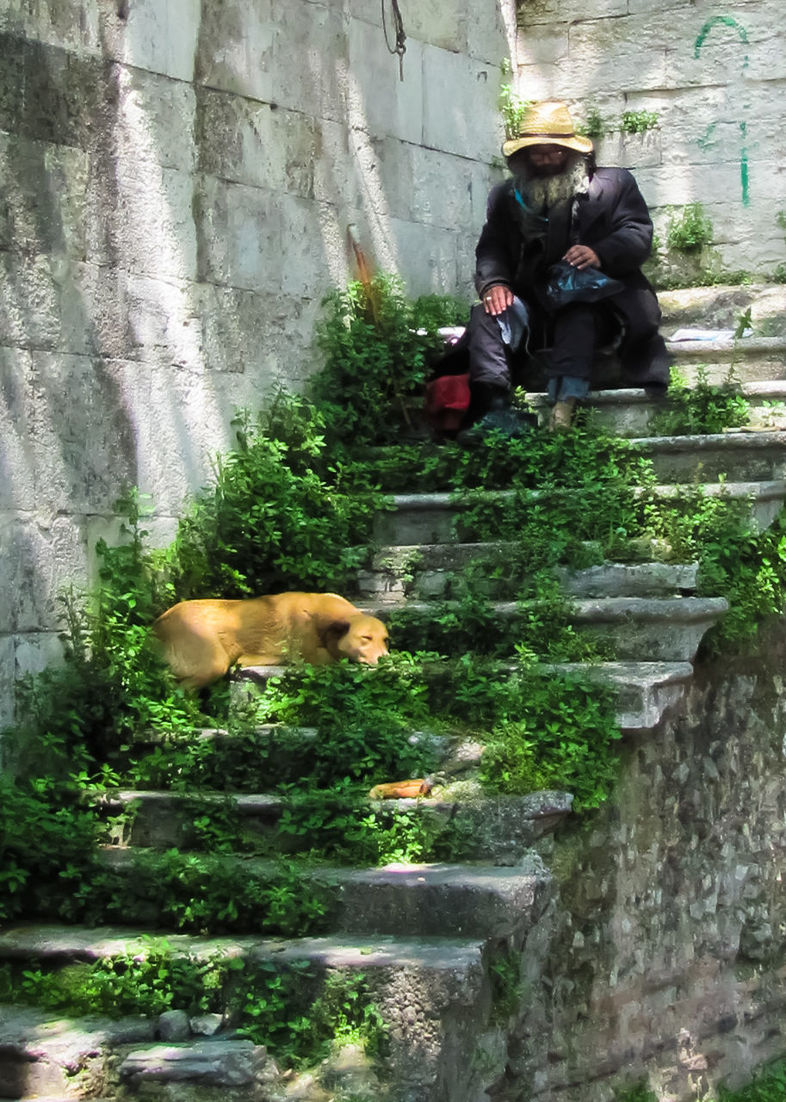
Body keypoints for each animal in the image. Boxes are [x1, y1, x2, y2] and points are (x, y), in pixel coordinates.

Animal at [151, 595, 390, 687]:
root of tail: (158, 625)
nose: (387, 659)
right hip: (213, 663)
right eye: (366, 638)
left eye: (386, 640)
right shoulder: (309, 655)